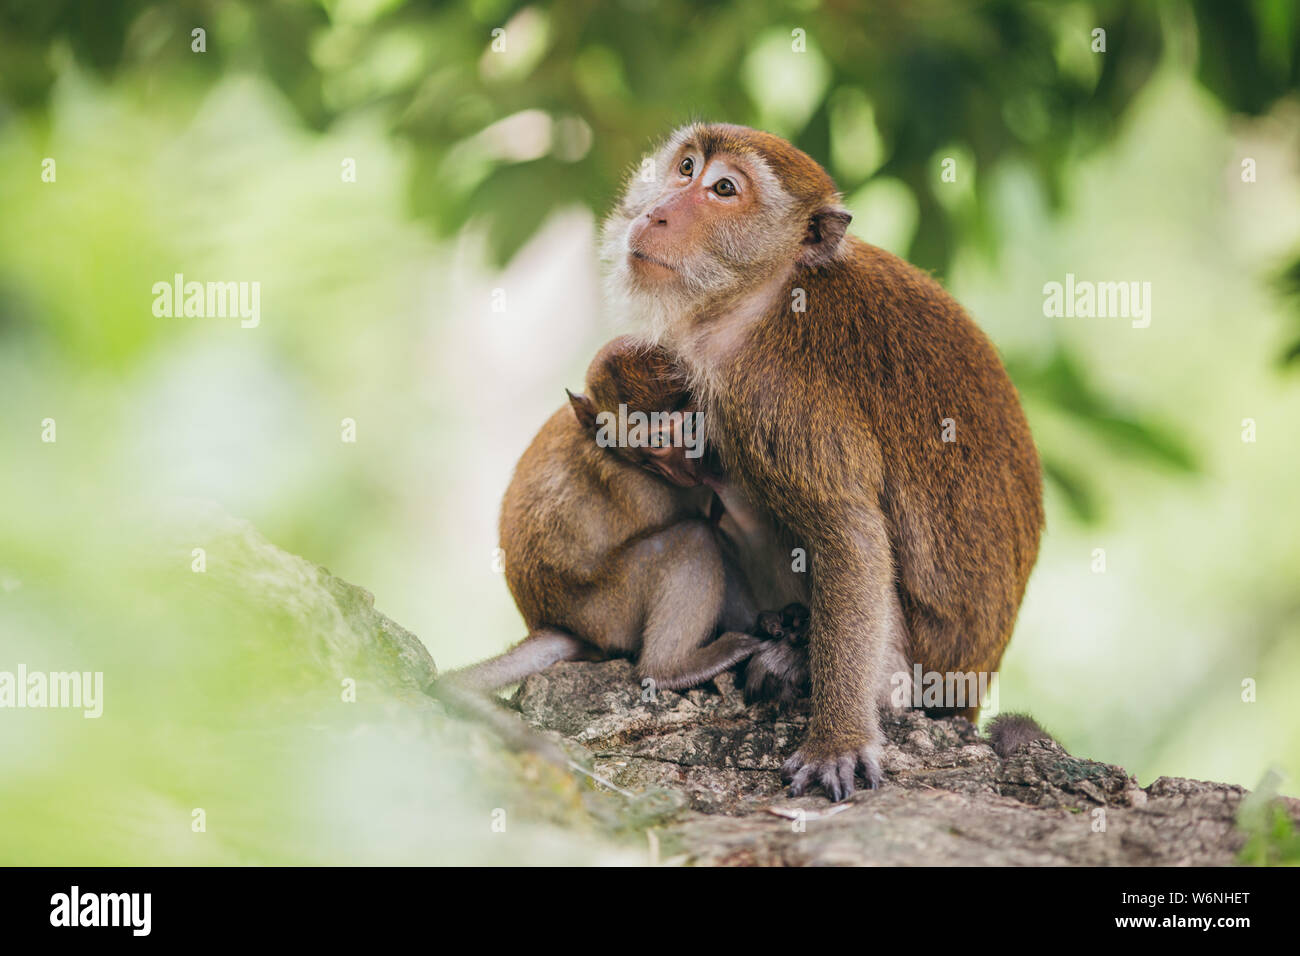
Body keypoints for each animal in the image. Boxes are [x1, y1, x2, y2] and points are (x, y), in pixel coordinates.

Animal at [436, 335, 759, 697]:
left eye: (690, 424)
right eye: (659, 439)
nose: (693, 462)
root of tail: (561, 626)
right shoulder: (637, 485)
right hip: (607, 614)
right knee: (696, 538)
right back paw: (668, 670)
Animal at [600, 125, 1045, 801]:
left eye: (723, 189)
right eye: (685, 168)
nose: (658, 211)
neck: (769, 293)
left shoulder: (773, 391)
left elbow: (851, 539)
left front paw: (837, 740)